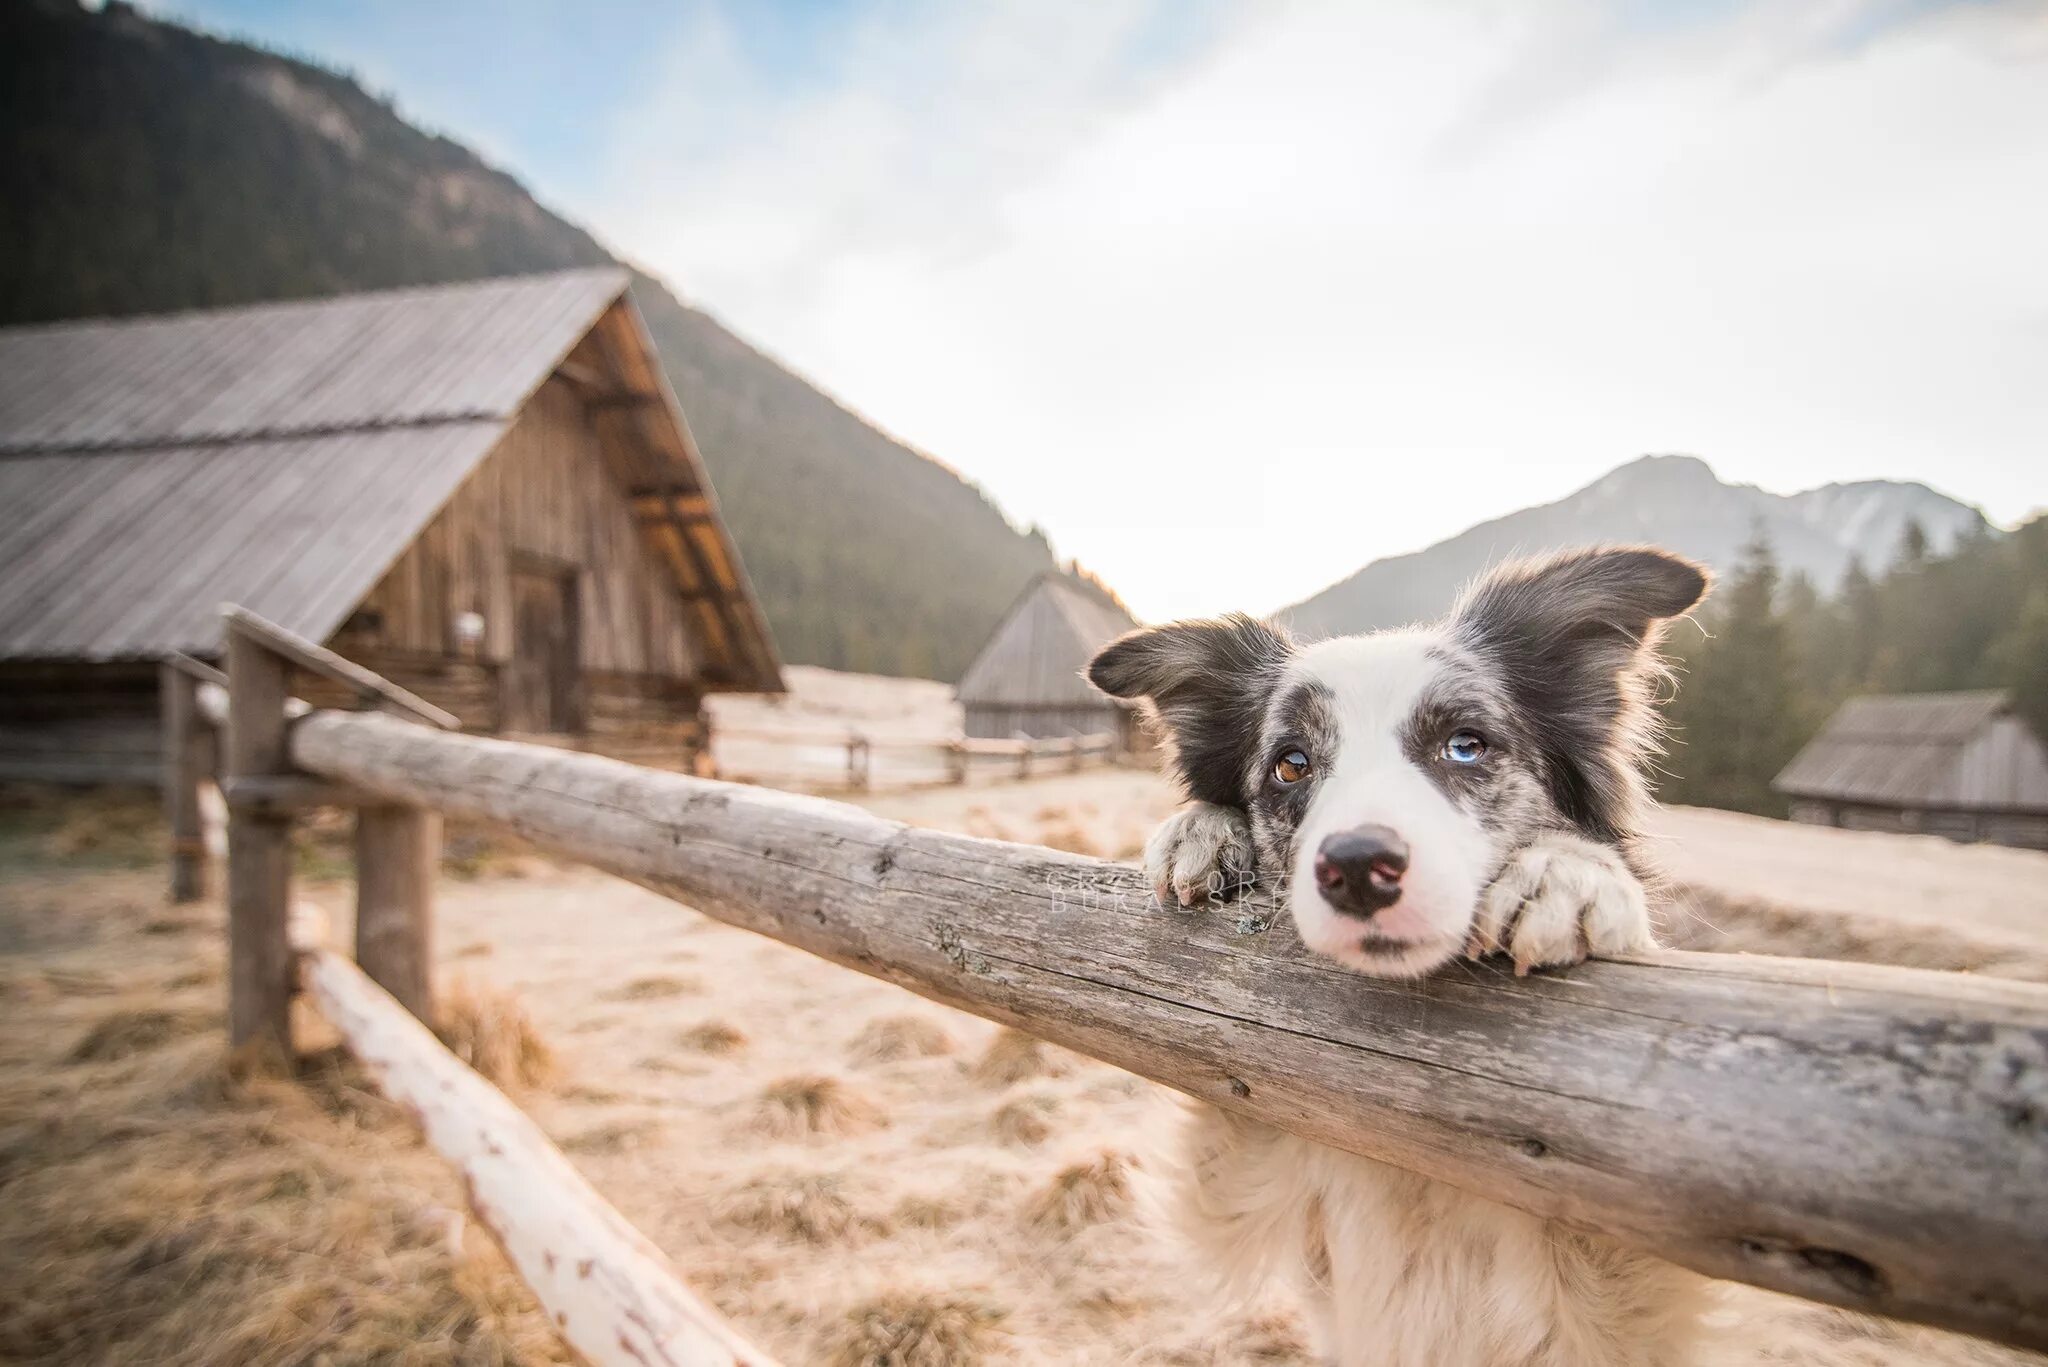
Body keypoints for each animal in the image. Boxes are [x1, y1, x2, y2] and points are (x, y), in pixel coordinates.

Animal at [1089, 545, 1712, 1367]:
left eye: (1466, 745)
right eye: (1291, 764)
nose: (1357, 866)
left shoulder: (1623, 1284)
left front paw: (1568, 871)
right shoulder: (1243, 1180)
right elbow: (1220, 1091)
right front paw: (1201, 828)